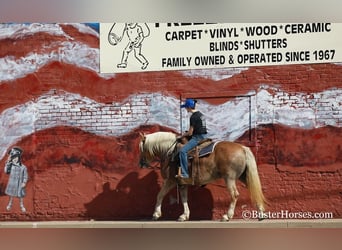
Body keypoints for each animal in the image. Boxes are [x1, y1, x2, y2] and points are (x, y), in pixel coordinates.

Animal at [138, 131, 266, 221]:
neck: (170, 151)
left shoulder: (171, 181)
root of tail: (242, 148)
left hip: (229, 178)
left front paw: (156, 214)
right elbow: (184, 198)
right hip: (244, 176)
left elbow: (160, 195)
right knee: (254, 190)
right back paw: (261, 213)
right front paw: (184, 215)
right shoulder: (182, 183)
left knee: (234, 194)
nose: (141, 164)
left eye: (141, 149)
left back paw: (227, 216)